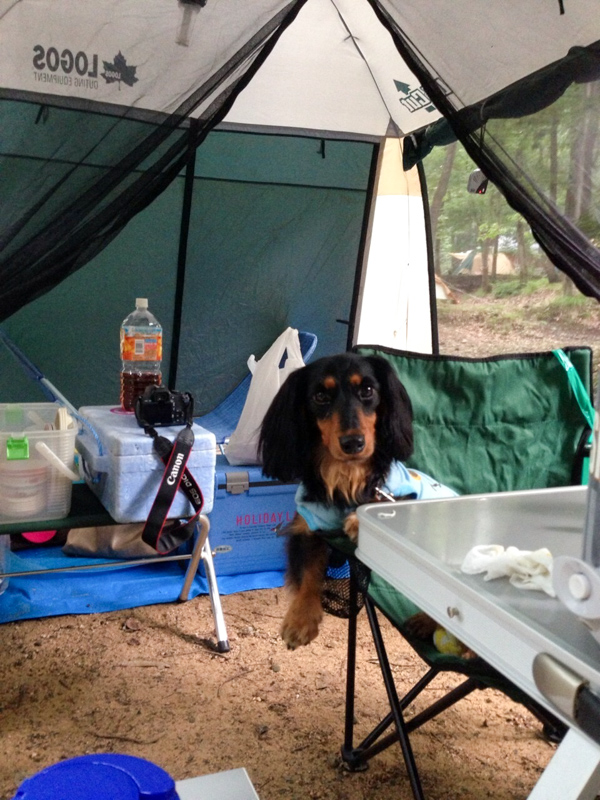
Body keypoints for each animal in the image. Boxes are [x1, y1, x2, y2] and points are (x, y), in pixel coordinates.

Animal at [259, 352, 421, 650]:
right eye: (320, 396)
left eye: (367, 390)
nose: (353, 443)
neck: (346, 475)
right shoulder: (306, 527)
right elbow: (310, 569)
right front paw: (301, 619)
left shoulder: (400, 496)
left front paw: (358, 520)